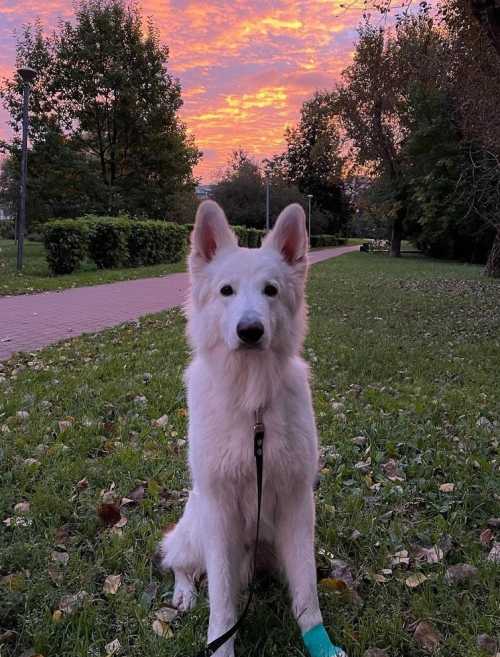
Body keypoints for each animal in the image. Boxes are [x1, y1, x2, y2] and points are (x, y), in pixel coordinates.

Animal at [160, 200, 348, 656]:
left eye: (271, 291)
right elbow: (222, 602)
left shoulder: (298, 505)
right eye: (226, 291)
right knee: (178, 562)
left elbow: (307, 593)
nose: (250, 330)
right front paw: (221, 646)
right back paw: (184, 593)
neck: (252, 403)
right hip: (197, 525)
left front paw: (319, 642)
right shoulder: (219, 511)